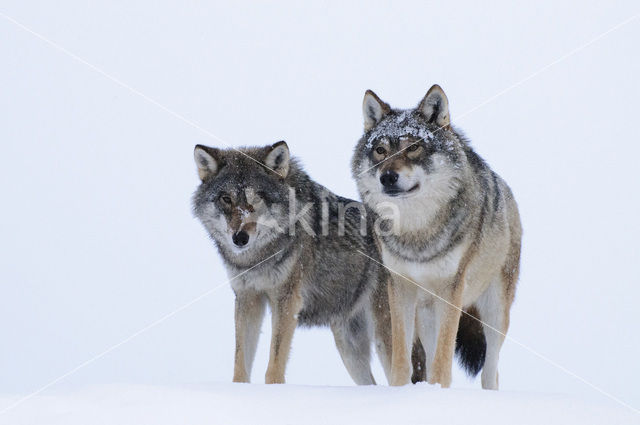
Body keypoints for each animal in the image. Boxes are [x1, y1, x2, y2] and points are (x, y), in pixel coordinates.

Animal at [190, 142, 392, 384]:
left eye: (257, 198)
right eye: (226, 199)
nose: (239, 238)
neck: (256, 259)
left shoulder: (287, 300)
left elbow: (274, 366)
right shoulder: (247, 297)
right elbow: (240, 365)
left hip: (385, 337)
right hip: (350, 348)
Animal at [352, 85, 524, 388]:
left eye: (413, 147)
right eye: (380, 150)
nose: (388, 177)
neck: (417, 232)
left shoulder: (451, 289)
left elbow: (443, 361)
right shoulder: (400, 286)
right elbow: (402, 360)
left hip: (494, 312)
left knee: (491, 370)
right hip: (426, 313)